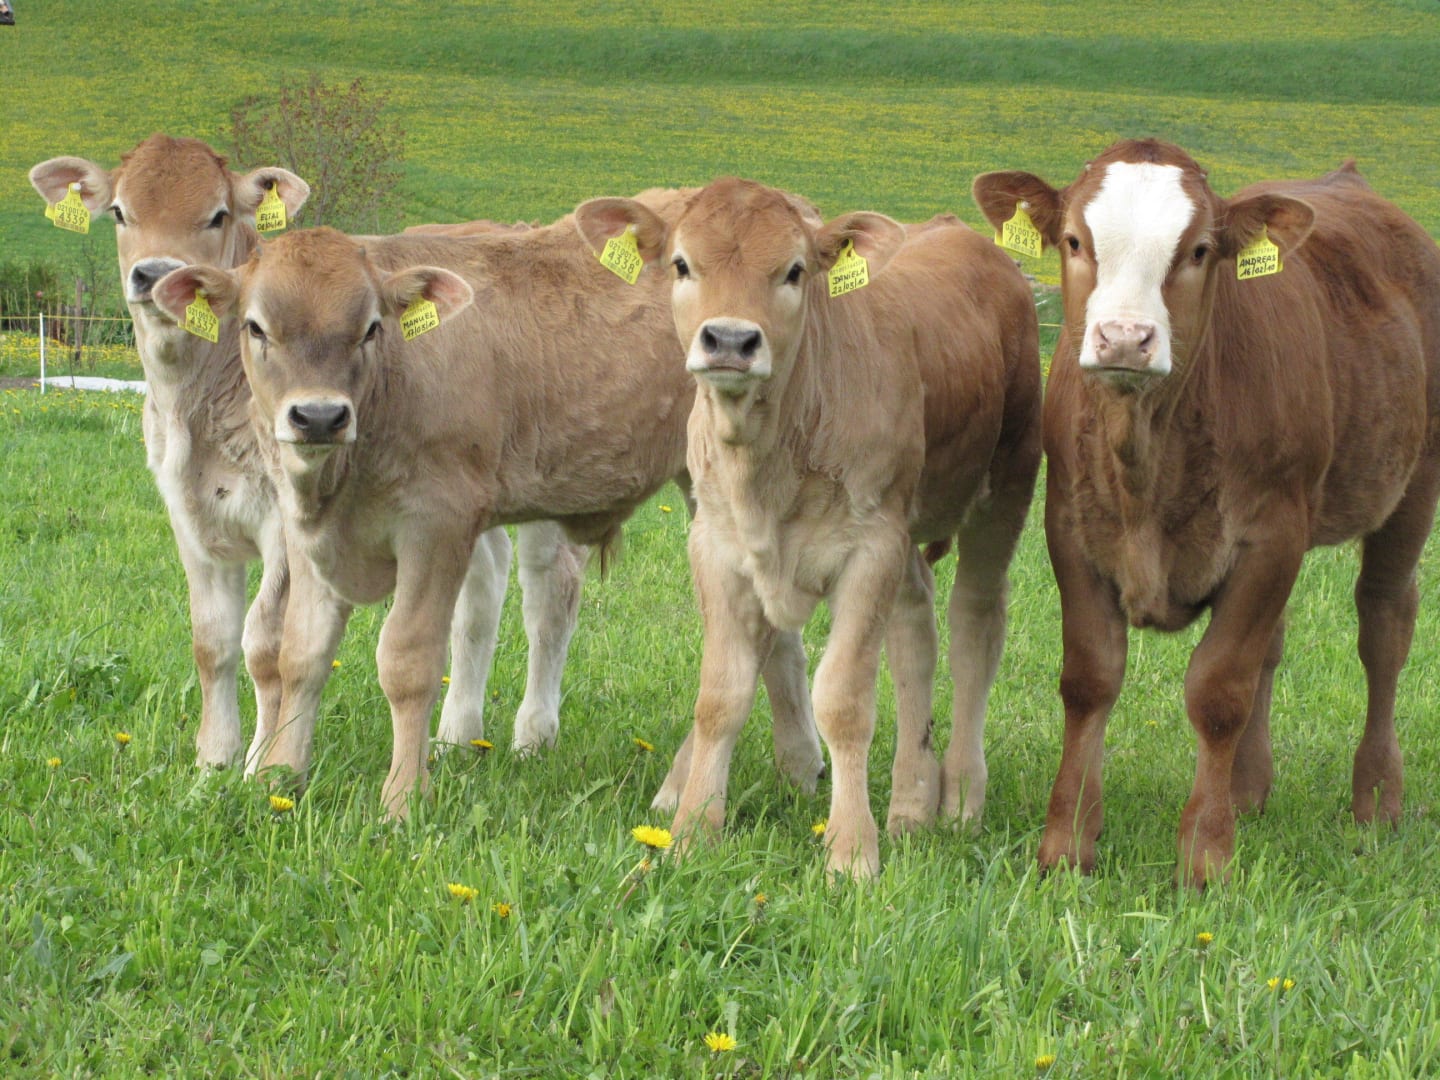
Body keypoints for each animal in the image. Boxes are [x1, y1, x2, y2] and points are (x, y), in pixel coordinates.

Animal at [27, 135, 588, 776]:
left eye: (218, 214)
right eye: (120, 212)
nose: (155, 274)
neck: (195, 405)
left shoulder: (284, 520)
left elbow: (266, 643)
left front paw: (258, 764)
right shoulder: (188, 514)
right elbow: (212, 640)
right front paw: (213, 759)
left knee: (552, 594)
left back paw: (533, 736)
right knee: (482, 590)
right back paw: (454, 736)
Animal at [149, 213, 826, 818]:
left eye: (370, 328)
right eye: (256, 327)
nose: (318, 416)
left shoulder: (438, 525)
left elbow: (408, 662)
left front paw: (402, 800)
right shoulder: (306, 533)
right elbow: (301, 655)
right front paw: (278, 779)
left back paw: (680, 792)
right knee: (774, 633)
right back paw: (799, 766)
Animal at [574, 179, 1043, 877]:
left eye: (794, 271)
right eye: (682, 264)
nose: (730, 340)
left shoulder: (870, 549)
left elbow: (843, 702)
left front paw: (850, 852)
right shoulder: (718, 548)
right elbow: (721, 696)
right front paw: (691, 833)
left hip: (1006, 485)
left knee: (974, 631)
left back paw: (960, 798)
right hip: (906, 536)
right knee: (914, 636)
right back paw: (911, 801)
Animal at [972, 139, 1440, 886]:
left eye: (1198, 250)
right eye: (1074, 240)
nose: (1124, 338)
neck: (1148, 456)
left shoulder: (1270, 537)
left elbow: (1219, 689)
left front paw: (1206, 855)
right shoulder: (1072, 530)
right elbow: (1089, 679)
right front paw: (1066, 845)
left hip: (1413, 487)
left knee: (1384, 630)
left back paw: (1377, 798)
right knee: (1274, 645)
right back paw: (1248, 789)